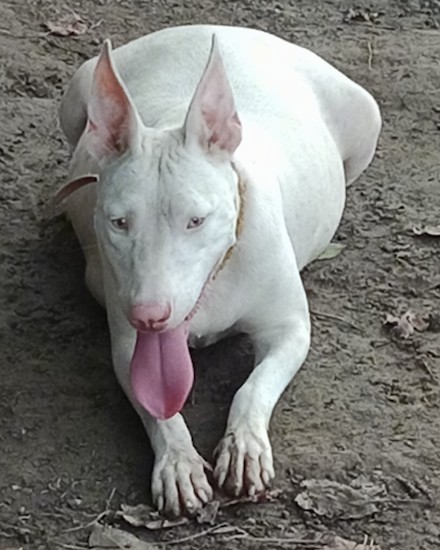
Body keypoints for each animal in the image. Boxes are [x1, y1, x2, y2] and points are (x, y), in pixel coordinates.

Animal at [57, 24, 382, 516]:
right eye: (119, 222)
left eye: (196, 220)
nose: (149, 315)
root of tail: (222, 28)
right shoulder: (128, 344)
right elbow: (158, 409)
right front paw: (178, 464)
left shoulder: (290, 329)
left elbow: (254, 387)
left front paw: (244, 447)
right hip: (76, 92)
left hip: (365, 114)